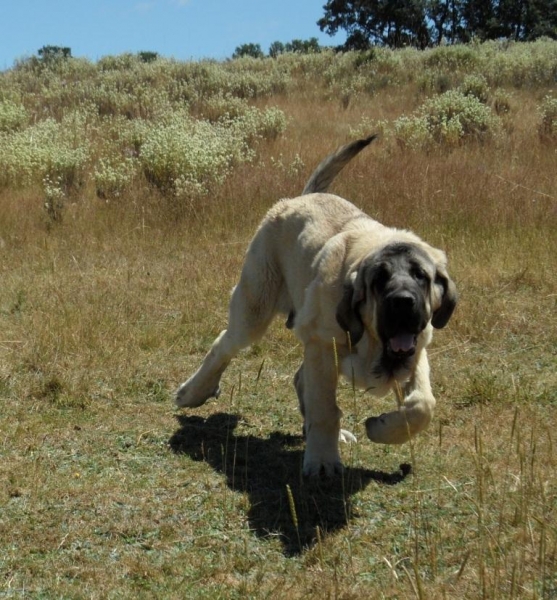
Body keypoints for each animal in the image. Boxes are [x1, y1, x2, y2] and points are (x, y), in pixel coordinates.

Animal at [177, 136, 456, 478]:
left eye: (421, 276)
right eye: (379, 278)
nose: (403, 302)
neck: (371, 340)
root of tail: (299, 198)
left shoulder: (416, 349)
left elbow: (422, 404)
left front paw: (381, 427)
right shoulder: (323, 347)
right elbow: (325, 409)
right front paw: (323, 460)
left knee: (299, 378)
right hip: (254, 310)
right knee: (224, 344)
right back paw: (194, 391)